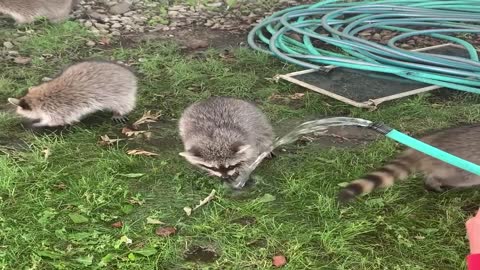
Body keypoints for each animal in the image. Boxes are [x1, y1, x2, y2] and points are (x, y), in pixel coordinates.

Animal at [8, 60, 138, 127]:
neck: (37, 99)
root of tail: (129, 74)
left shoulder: (55, 110)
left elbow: (55, 121)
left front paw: (40, 123)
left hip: (122, 92)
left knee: (124, 104)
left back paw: (119, 112)